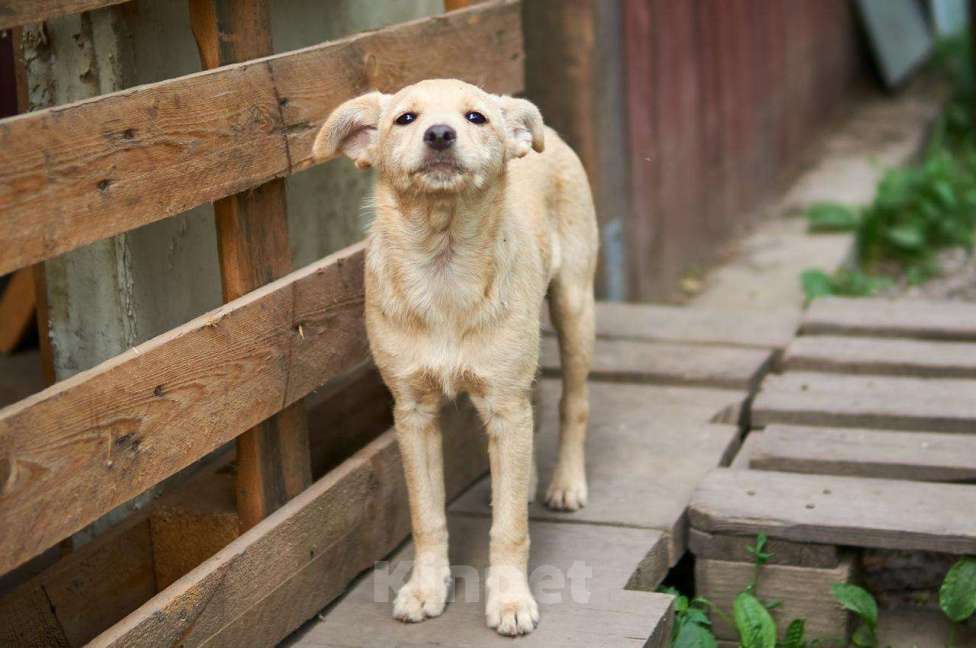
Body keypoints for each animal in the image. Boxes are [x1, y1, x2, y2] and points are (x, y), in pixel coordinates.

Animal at [316, 78, 600, 636]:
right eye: (405, 118)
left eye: (475, 117)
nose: (440, 134)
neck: (443, 266)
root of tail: (547, 133)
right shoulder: (414, 414)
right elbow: (427, 516)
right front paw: (426, 588)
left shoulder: (505, 405)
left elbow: (509, 528)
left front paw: (510, 599)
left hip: (575, 307)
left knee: (573, 404)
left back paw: (565, 483)